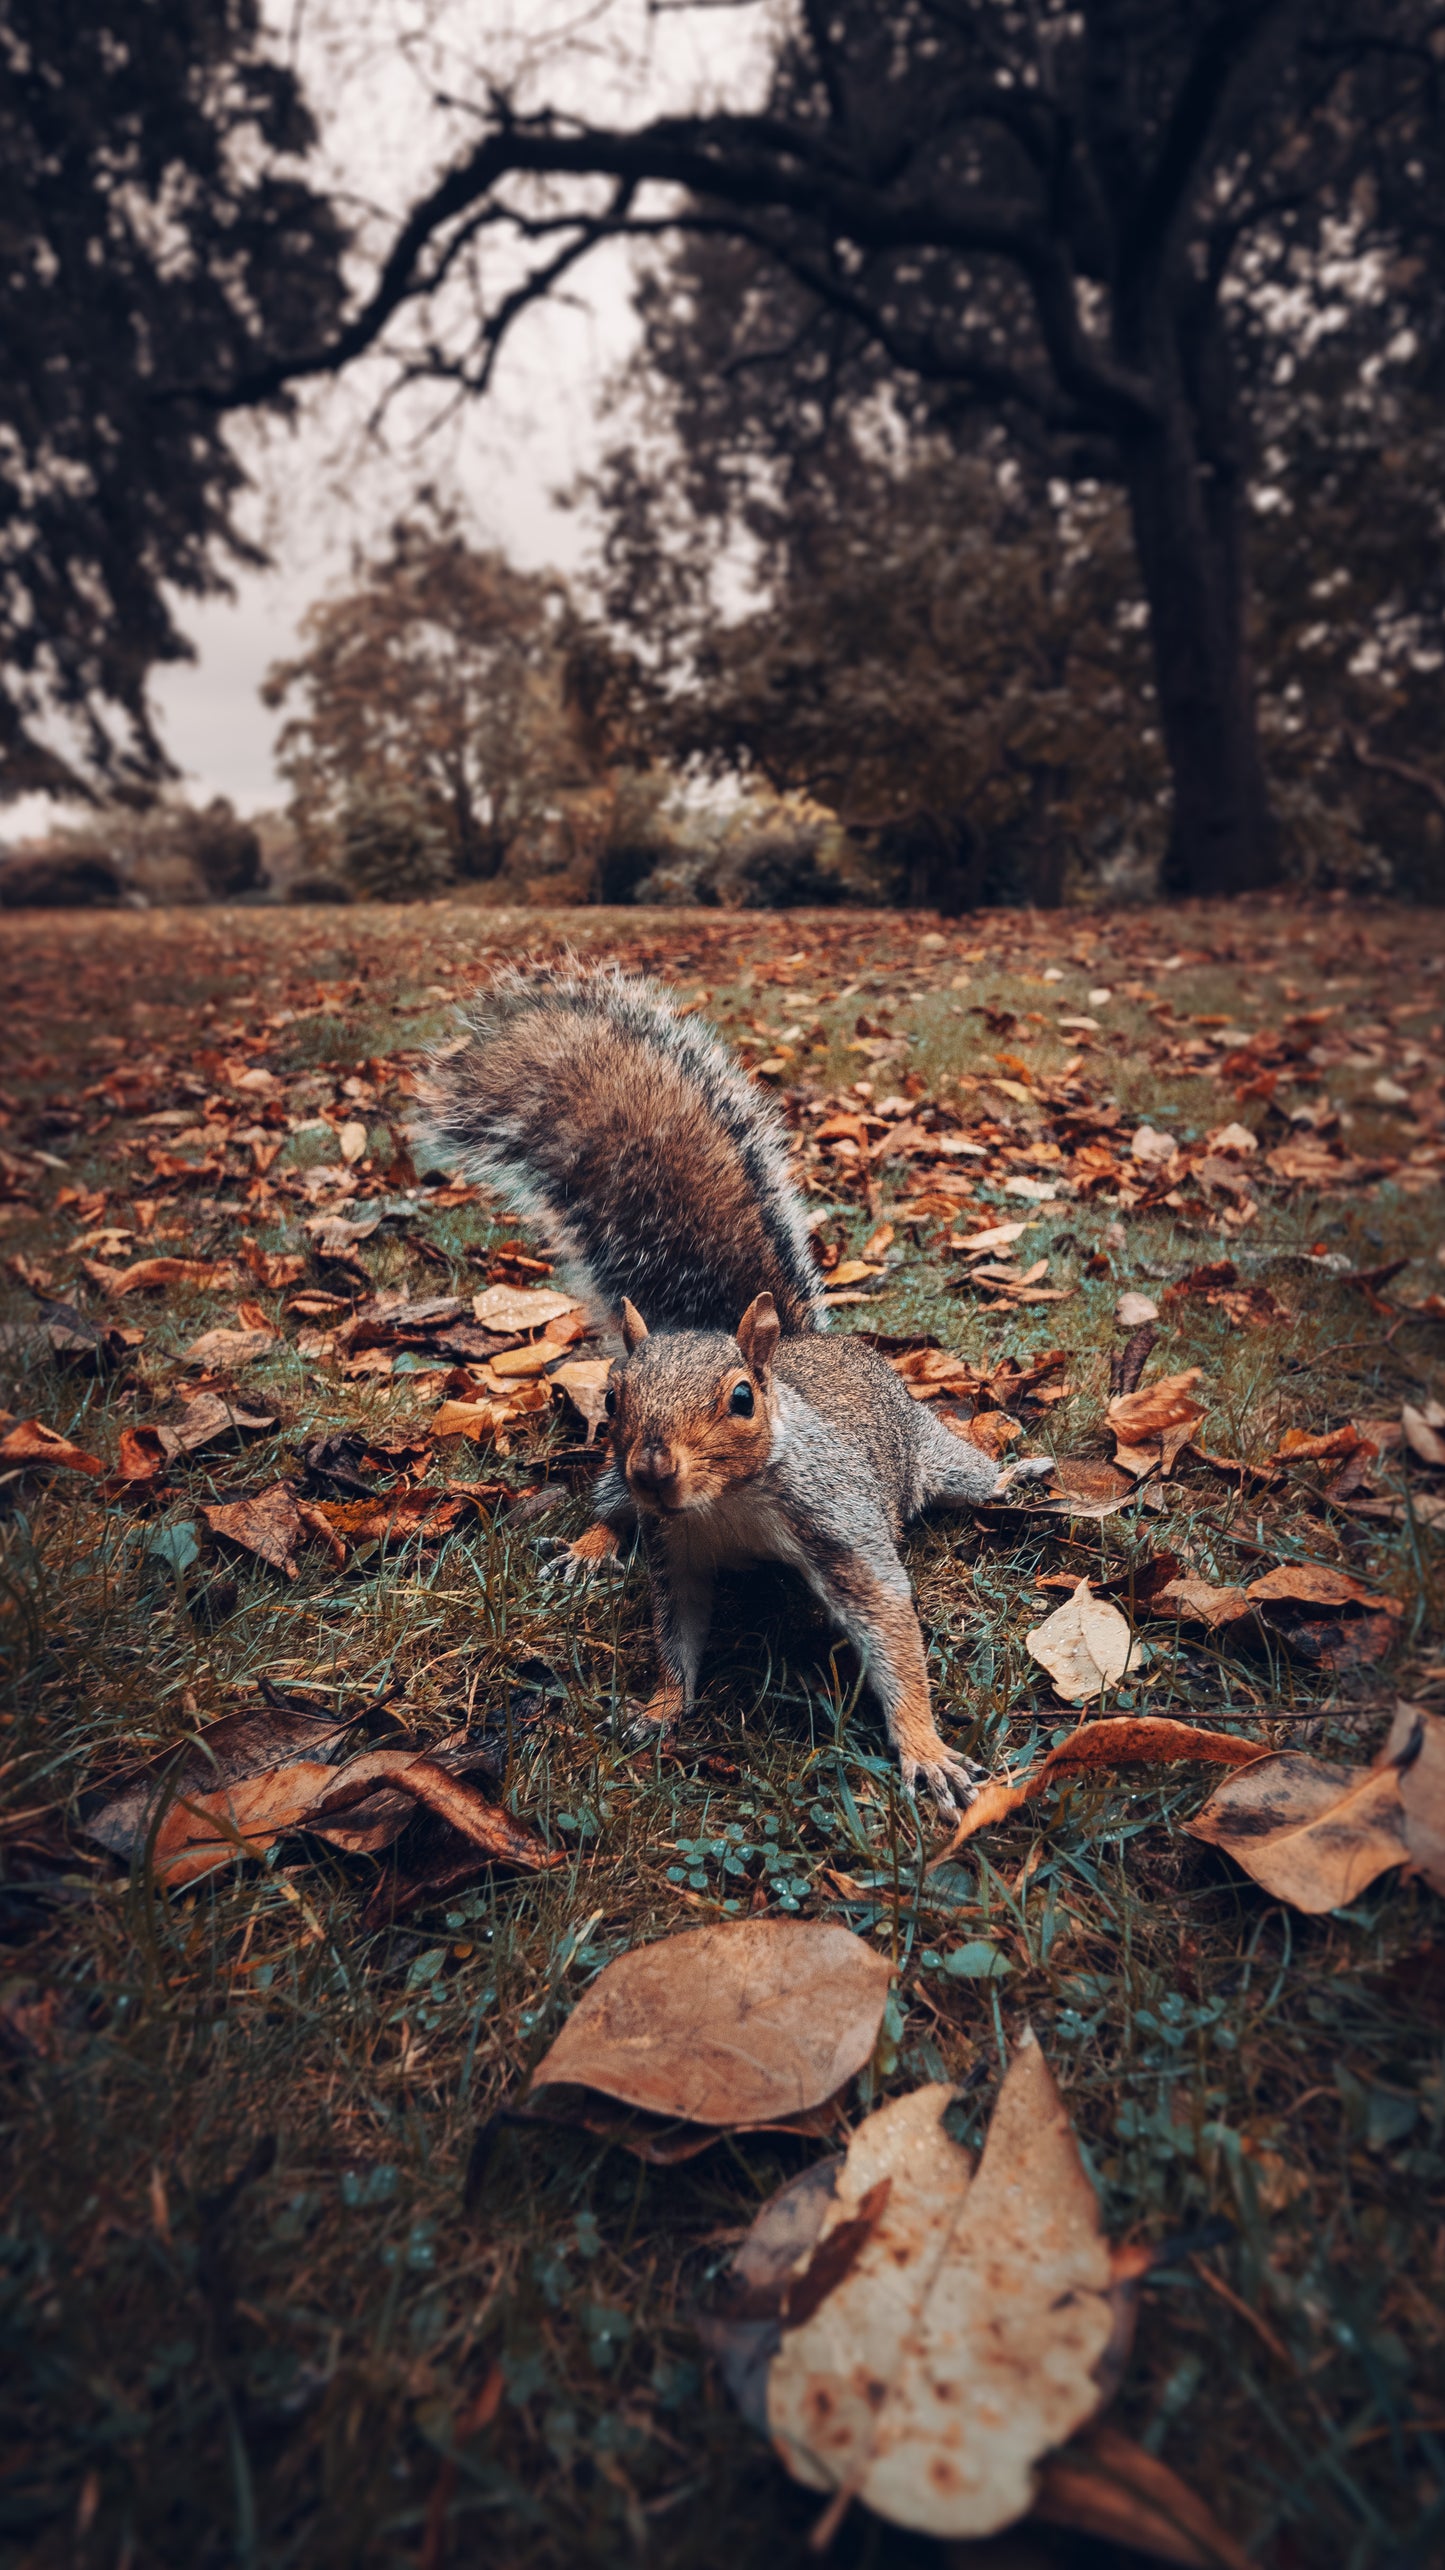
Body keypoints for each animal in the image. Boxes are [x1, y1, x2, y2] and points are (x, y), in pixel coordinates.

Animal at [419, 966, 1043, 1809]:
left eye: (741, 1400)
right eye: (610, 1397)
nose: (653, 1468)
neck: (727, 1506)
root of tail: (808, 1341)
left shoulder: (841, 1526)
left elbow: (890, 1627)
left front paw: (924, 1748)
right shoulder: (674, 1551)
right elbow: (674, 1633)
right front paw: (658, 1706)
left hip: (930, 1453)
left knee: (972, 1474)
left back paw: (1017, 1473)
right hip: (618, 1482)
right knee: (610, 1508)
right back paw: (589, 1547)